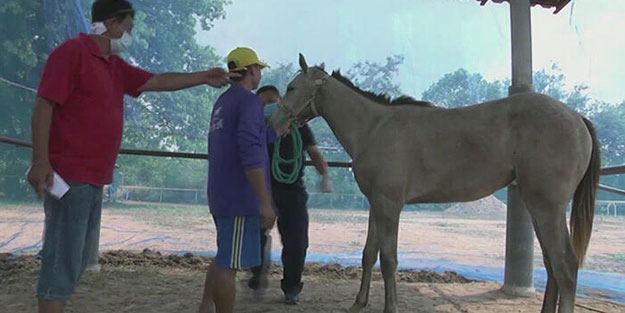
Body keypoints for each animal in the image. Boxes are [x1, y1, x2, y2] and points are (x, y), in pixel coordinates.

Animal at [272, 54, 600, 312]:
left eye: (291, 87)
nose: (274, 122)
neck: (374, 128)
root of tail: (577, 118)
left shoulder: (390, 205)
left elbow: (389, 259)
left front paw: (391, 307)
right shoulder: (376, 204)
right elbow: (368, 255)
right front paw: (358, 303)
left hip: (548, 207)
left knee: (565, 266)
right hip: (539, 207)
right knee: (552, 265)